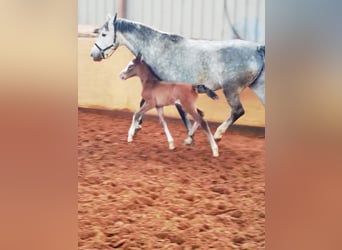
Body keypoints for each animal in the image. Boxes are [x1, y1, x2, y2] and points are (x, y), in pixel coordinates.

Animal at [90, 14, 264, 141]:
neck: (158, 48)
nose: (93, 54)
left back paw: (218, 134)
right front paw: (138, 127)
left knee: (238, 111)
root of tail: (258, 48)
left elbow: (183, 113)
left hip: (231, 89)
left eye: (104, 34)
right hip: (258, 87)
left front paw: (190, 137)